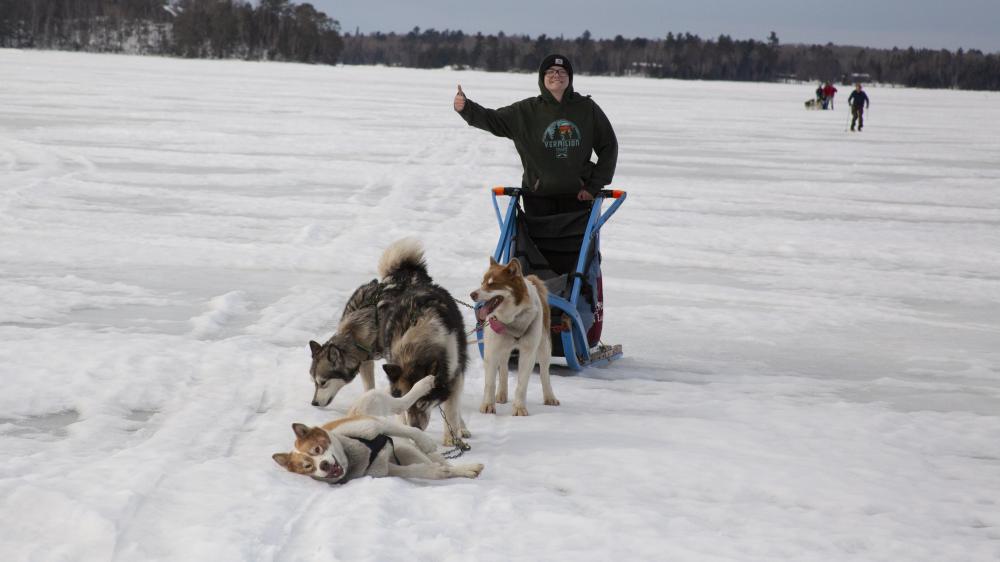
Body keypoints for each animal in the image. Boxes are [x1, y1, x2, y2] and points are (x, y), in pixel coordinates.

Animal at [306, 238, 470, 444]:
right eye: (314, 382)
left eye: (323, 382)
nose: (314, 403)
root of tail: (408, 271)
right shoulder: (368, 361)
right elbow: (376, 389)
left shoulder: (452, 371)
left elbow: (451, 408)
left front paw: (452, 435)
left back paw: (462, 427)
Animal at [470, 256, 560, 414]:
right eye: (482, 283)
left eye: (492, 284)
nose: (472, 294)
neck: (511, 321)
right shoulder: (491, 351)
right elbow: (490, 382)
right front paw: (488, 405)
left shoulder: (528, 353)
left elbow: (522, 385)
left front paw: (519, 407)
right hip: (502, 347)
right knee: (504, 368)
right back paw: (501, 394)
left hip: (544, 347)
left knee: (544, 373)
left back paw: (549, 396)